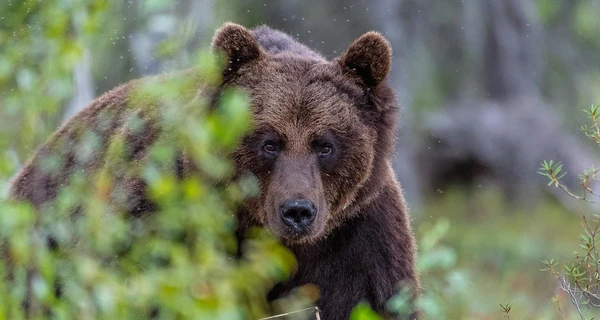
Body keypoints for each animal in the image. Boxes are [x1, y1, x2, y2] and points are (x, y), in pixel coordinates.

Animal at [8, 23, 418, 320]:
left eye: (325, 145)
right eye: (270, 143)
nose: (297, 211)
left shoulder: (357, 235)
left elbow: (367, 300)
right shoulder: (162, 207)